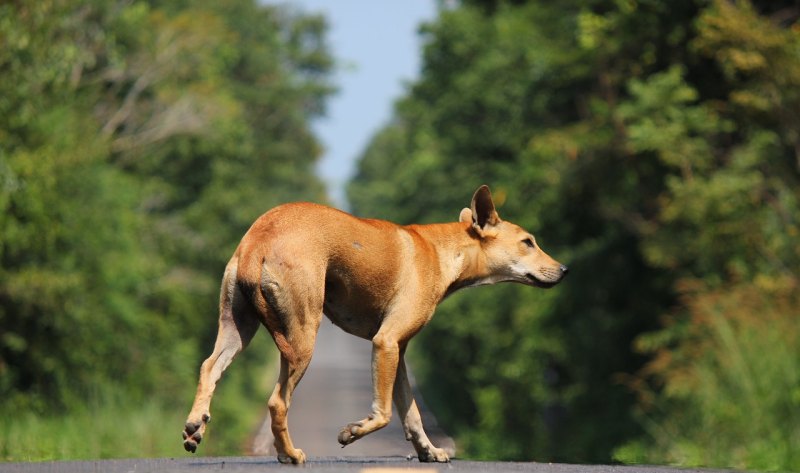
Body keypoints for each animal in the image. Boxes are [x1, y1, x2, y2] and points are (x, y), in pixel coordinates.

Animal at [181, 184, 568, 460]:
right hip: (302, 336)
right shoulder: (386, 342)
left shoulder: (398, 350)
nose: (564, 269)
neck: (445, 250)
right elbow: (383, 413)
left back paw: (195, 426)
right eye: (528, 242)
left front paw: (429, 451)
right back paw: (289, 454)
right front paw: (352, 432)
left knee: (209, 367)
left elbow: (411, 412)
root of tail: (258, 238)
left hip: (237, 329)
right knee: (278, 402)